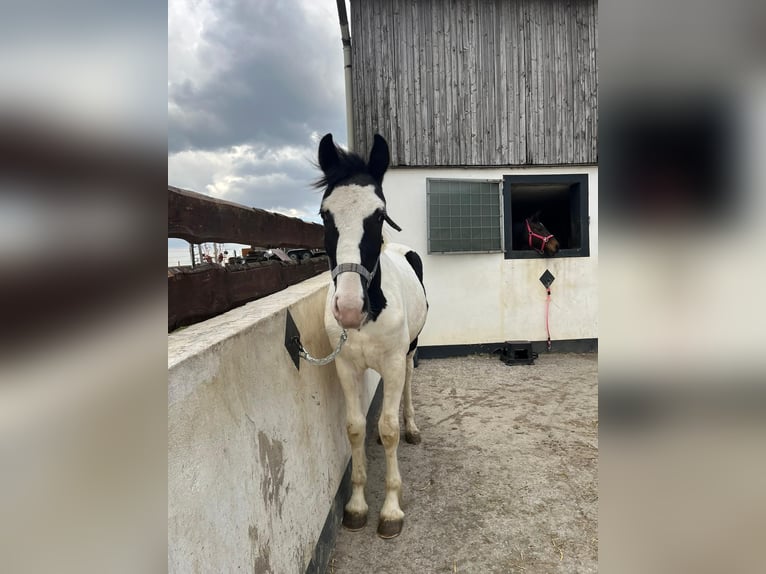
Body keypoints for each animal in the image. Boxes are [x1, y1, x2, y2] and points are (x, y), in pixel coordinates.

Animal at [315, 133, 428, 539]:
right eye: (325, 214)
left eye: (378, 214)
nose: (348, 308)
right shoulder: (346, 367)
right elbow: (355, 428)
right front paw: (357, 505)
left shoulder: (393, 362)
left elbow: (391, 428)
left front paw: (391, 509)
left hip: (409, 352)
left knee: (408, 383)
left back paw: (412, 426)